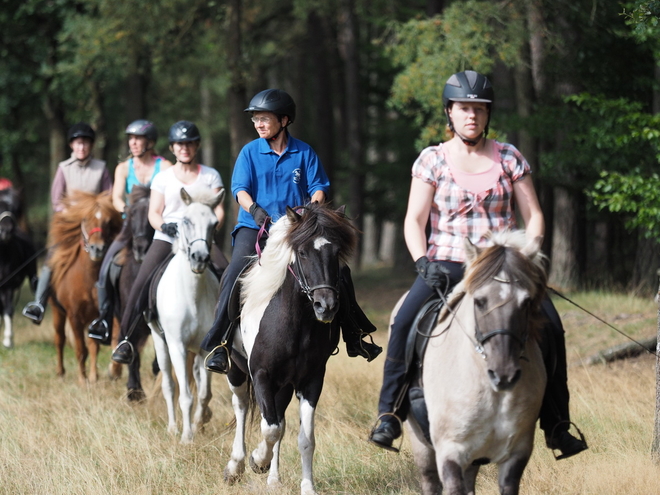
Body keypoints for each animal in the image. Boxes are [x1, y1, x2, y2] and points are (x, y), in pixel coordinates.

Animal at [49, 192, 122, 386]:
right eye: (85, 219)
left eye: (107, 221)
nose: (97, 248)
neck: (87, 280)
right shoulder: (74, 316)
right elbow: (80, 349)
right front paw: (82, 380)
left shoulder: (99, 315)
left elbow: (96, 345)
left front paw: (96, 376)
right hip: (57, 311)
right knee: (59, 339)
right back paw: (60, 372)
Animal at [147, 188, 224, 444]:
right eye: (186, 221)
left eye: (214, 223)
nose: (199, 258)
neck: (192, 295)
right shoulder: (177, 346)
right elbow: (185, 395)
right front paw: (186, 437)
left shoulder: (205, 348)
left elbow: (204, 393)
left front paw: (199, 422)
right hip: (160, 342)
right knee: (170, 386)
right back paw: (173, 427)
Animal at [222, 202, 358, 495]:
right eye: (303, 253)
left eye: (336, 252)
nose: (326, 306)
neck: (295, 324)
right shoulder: (261, 374)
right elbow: (270, 428)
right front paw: (257, 461)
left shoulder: (311, 380)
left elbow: (304, 438)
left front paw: (307, 487)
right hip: (236, 371)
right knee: (242, 407)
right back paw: (235, 466)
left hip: (283, 384)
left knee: (280, 420)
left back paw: (273, 478)